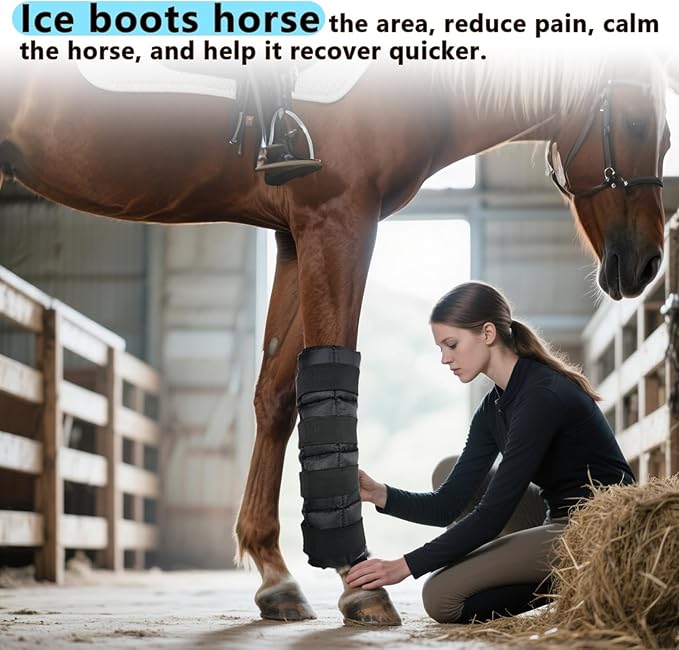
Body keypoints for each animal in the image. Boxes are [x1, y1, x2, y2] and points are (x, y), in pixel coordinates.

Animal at [0, 50, 670, 625]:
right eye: (637, 123)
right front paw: (358, 583)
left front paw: (275, 576)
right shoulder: (339, 220)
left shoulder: (293, 235)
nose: (645, 265)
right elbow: (329, 378)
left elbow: (278, 396)